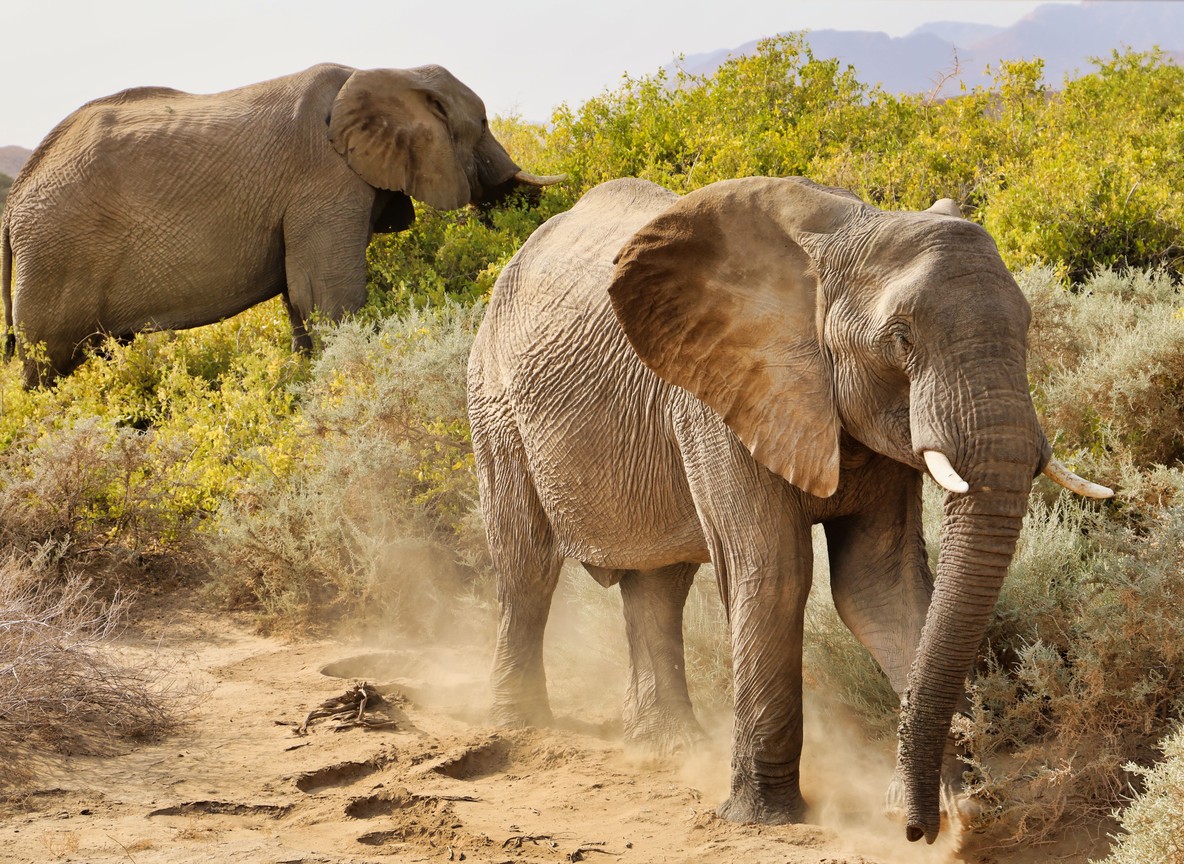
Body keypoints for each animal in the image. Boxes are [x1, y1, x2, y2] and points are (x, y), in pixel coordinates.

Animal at [1, 63, 560, 386]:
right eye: (483, 124)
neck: (388, 71)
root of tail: (13, 205)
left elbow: (301, 295)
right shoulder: (324, 181)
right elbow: (328, 295)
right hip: (56, 257)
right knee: (46, 366)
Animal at [466, 177, 1112, 843]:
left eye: (1028, 328)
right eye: (901, 338)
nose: (912, 828)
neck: (846, 237)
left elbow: (881, 585)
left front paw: (960, 814)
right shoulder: (719, 397)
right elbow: (775, 572)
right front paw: (766, 818)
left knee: (659, 584)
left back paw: (667, 749)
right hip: (494, 401)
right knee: (527, 566)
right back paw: (522, 725)